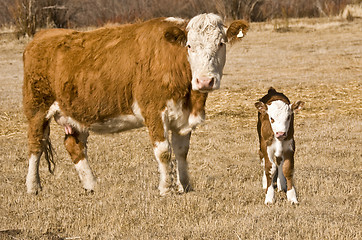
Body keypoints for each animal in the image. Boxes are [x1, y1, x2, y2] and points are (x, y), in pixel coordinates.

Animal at [22, 13, 249, 195]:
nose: (205, 81)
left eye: (221, 44)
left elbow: (181, 151)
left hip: (77, 113)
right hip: (37, 109)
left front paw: (185, 186)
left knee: (74, 145)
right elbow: (164, 151)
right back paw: (33, 187)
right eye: (189, 46)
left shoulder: (182, 118)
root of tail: (42, 36)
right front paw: (166, 188)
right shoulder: (154, 111)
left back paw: (91, 185)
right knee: (35, 145)